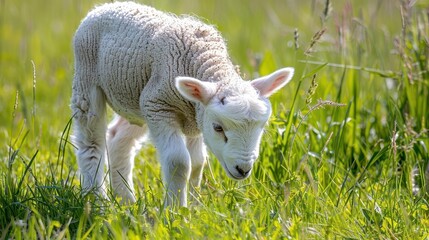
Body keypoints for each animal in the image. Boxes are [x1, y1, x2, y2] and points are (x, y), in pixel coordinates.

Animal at [72, 1, 292, 206]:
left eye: (261, 128)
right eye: (218, 128)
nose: (243, 169)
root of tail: (107, 6)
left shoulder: (195, 116)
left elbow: (197, 164)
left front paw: (194, 208)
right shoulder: (159, 106)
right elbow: (179, 163)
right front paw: (175, 209)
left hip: (136, 100)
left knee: (118, 138)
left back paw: (126, 201)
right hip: (87, 79)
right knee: (91, 144)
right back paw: (96, 201)